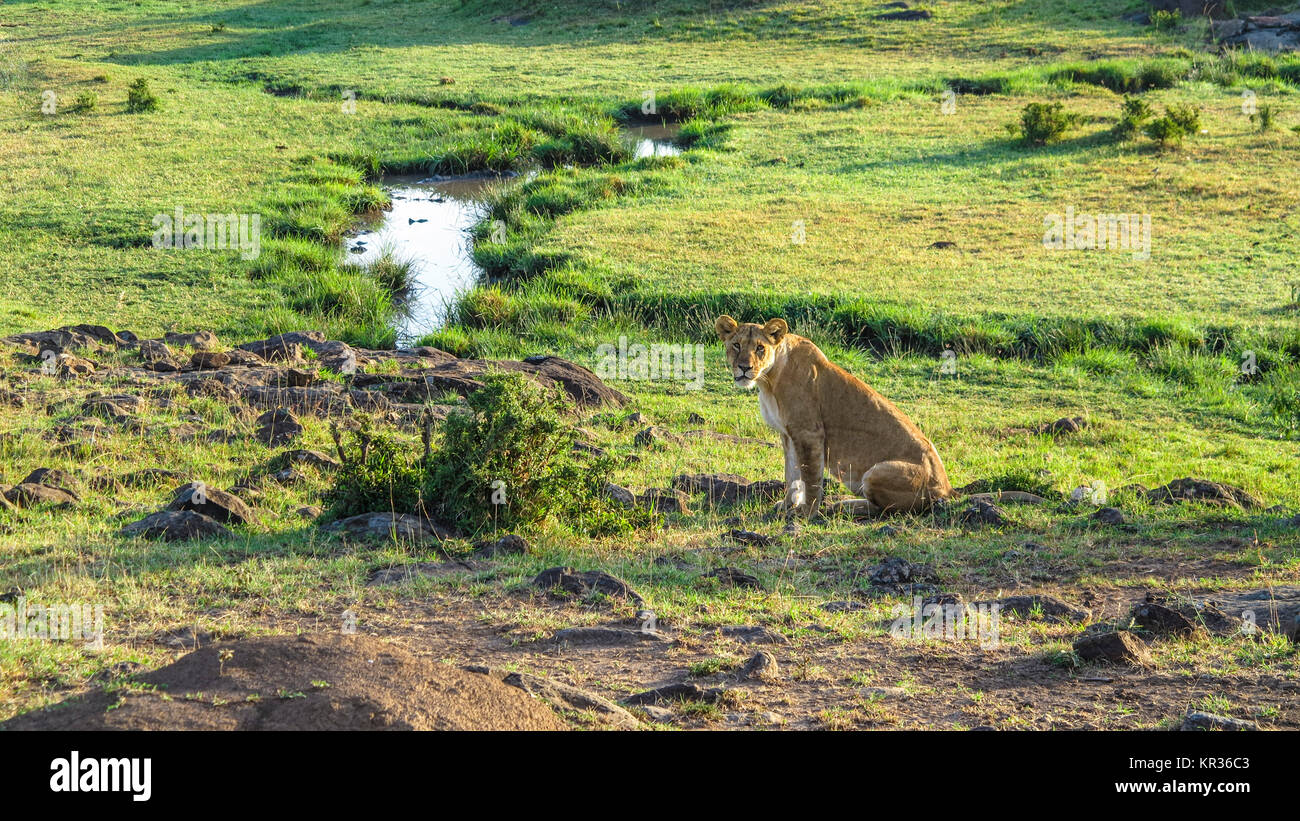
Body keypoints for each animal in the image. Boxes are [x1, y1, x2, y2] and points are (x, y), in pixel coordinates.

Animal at [715, 315, 953, 517]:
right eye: (736, 345)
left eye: (760, 348)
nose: (744, 368)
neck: (768, 381)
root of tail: (947, 489)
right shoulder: (788, 435)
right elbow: (791, 474)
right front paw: (787, 504)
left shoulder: (809, 433)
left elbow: (810, 477)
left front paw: (806, 513)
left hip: (877, 472)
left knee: (885, 509)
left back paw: (842, 506)